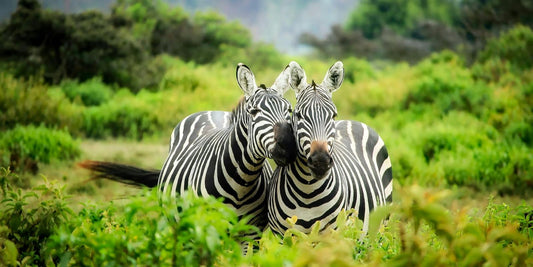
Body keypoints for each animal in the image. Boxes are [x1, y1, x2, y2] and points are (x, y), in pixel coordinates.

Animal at [79, 63, 298, 230]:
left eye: (289, 110)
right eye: (254, 112)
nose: (288, 146)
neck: (242, 182)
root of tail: (211, 111)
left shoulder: (250, 233)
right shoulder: (205, 227)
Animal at [266, 61, 390, 236]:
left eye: (333, 115)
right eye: (298, 115)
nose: (320, 162)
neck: (307, 191)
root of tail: (352, 121)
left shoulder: (333, 233)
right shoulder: (283, 235)